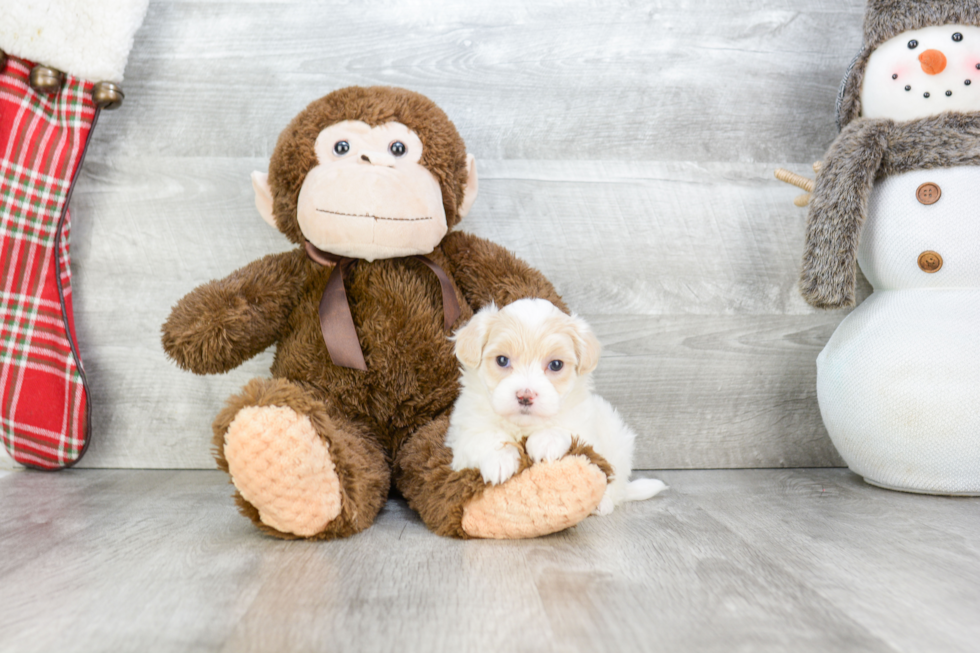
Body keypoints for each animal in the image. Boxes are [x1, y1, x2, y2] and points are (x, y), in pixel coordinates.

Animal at [450, 296, 668, 516]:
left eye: (556, 365)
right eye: (502, 360)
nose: (525, 396)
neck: (524, 426)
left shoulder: (586, 428)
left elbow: (569, 430)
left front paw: (546, 440)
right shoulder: (463, 433)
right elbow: (483, 437)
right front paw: (499, 459)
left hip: (618, 442)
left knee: (615, 484)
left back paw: (603, 503)